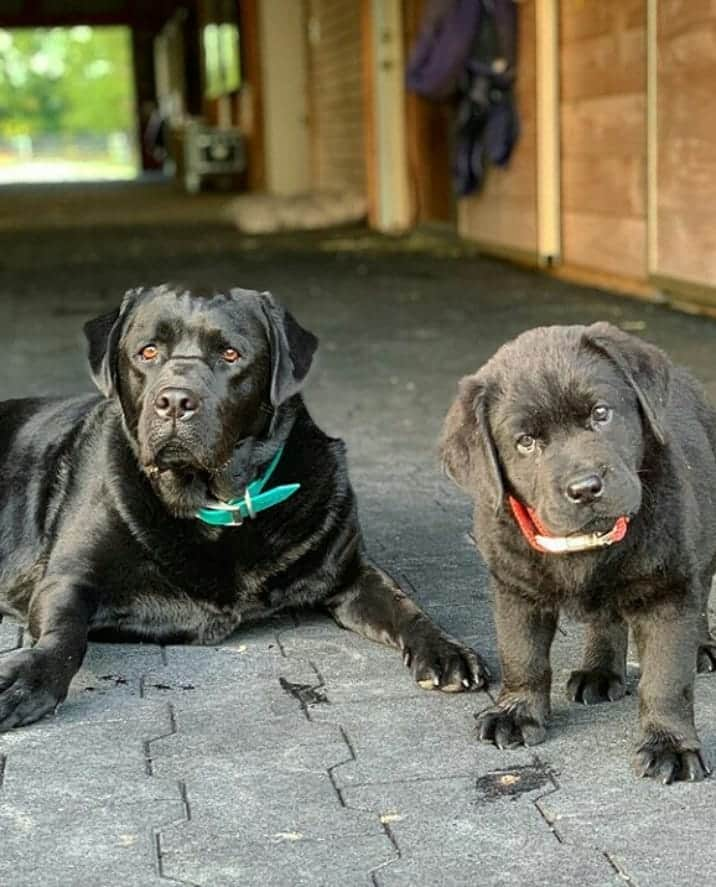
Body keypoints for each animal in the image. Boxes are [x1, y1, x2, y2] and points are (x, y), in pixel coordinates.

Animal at [0, 284, 486, 728]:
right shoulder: (69, 578)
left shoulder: (350, 571)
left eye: (231, 355)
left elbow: (404, 604)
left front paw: (446, 649)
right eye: (148, 352)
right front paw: (28, 681)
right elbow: (65, 636)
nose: (175, 401)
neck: (214, 504)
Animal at [442, 324, 716, 784]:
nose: (585, 488)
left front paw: (670, 745)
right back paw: (599, 671)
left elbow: (666, 677)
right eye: (526, 442)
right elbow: (521, 655)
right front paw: (517, 712)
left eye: (601, 414)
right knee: (605, 620)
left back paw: (702, 647)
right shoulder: (515, 588)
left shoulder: (668, 587)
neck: (586, 542)